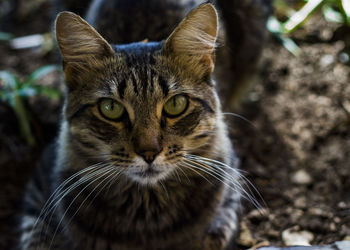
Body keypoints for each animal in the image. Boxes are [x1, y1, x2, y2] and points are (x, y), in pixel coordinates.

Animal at [18, 0, 270, 250]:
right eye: (111, 108)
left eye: (176, 104)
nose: (149, 153)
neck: (146, 209)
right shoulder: (37, 196)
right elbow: (36, 241)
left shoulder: (229, 197)